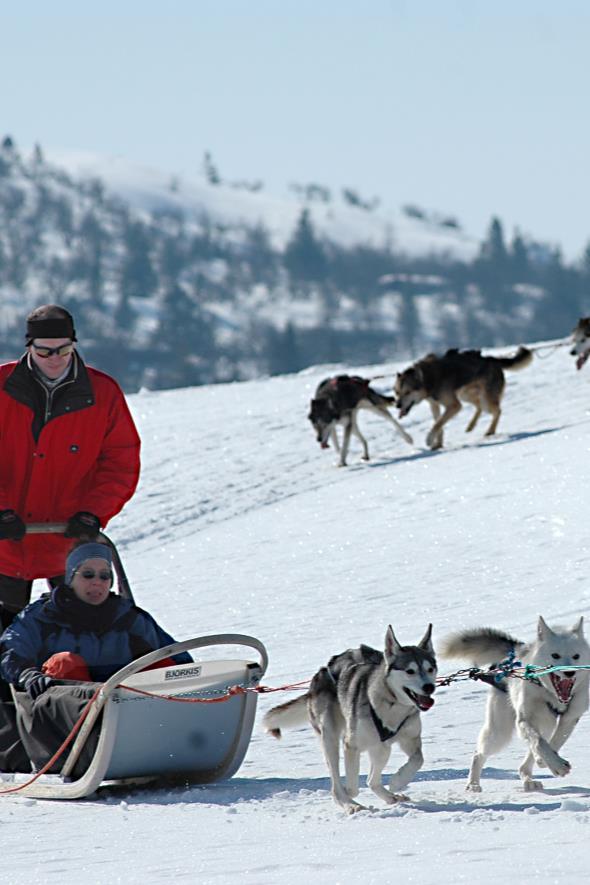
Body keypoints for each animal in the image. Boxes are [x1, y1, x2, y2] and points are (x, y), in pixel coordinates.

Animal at [266, 624, 438, 812]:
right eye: (410, 671)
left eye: (430, 669)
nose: (429, 687)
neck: (392, 705)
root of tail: (321, 672)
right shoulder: (351, 745)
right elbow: (353, 787)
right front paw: (350, 797)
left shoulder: (410, 739)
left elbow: (418, 759)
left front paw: (398, 781)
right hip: (330, 739)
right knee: (337, 785)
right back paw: (350, 804)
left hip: (382, 748)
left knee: (372, 781)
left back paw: (390, 796)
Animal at [396, 346, 536, 448]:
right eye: (397, 392)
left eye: (407, 392)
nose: (397, 405)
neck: (428, 379)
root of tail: (490, 359)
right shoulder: (434, 405)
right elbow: (439, 425)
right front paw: (438, 444)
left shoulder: (454, 405)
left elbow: (437, 424)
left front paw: (429, 440)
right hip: (465, 395)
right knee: (479, 407)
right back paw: (470, 426)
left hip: (484, 400)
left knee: (497, 411)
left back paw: (490, 431)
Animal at [442, 616, 588, 796]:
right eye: (555, 655)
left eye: (576, 656)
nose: (569, 672)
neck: (550, 694)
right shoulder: (524, 721)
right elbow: (539, 742)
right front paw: (556, 765)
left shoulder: (570, 718)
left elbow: (553, 743)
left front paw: (547, 762)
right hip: (500, 733)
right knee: (479, 754)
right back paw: (473, 784)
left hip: (545, 723)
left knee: (525, 763)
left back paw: (529, 780)